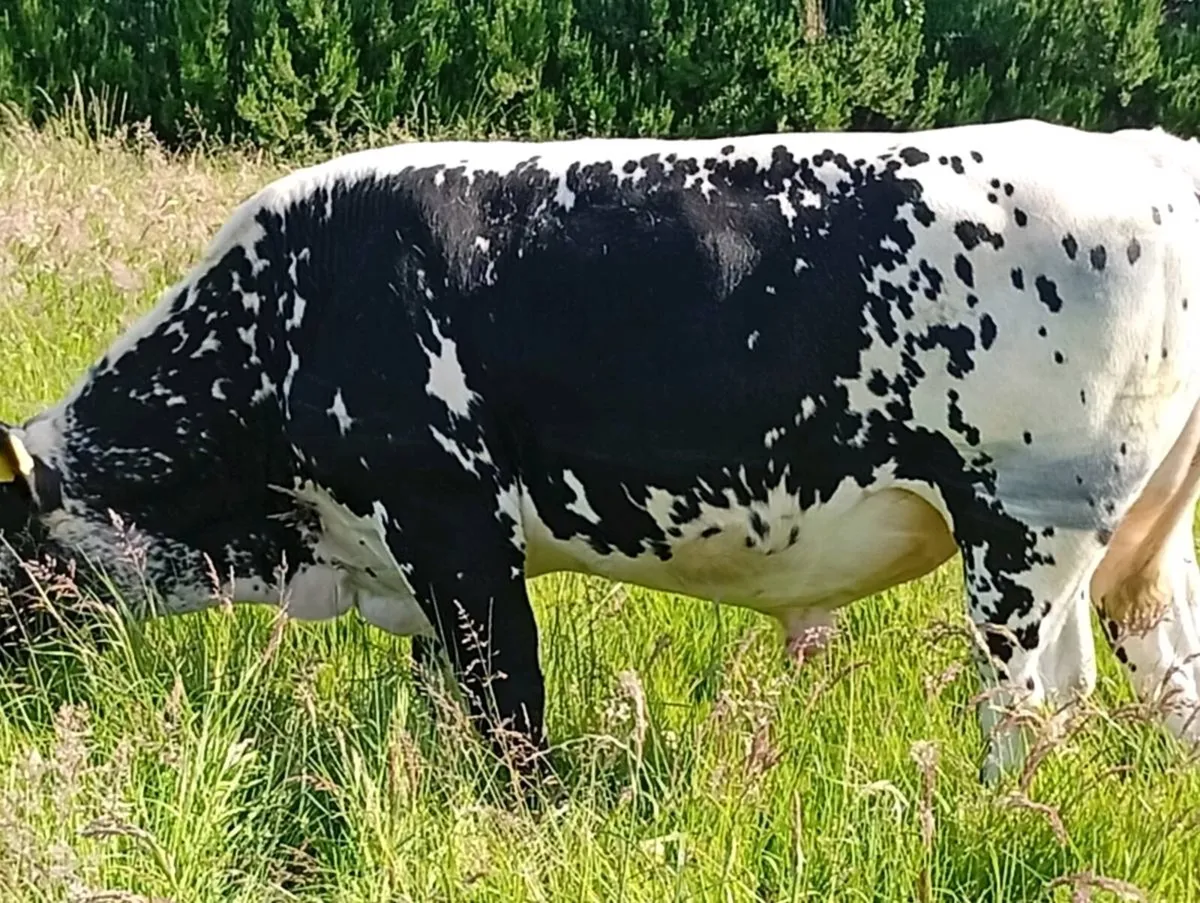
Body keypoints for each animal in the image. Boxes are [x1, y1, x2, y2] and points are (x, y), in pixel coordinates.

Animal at [1, 118, 1199, 784]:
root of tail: (1144, 149)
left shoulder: (453, 526)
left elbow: (509, 703)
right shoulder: (411, 564)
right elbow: (451, 702)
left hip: (1024, 527)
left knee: (1034, 708)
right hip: (1139, 542)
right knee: (1166, 674)